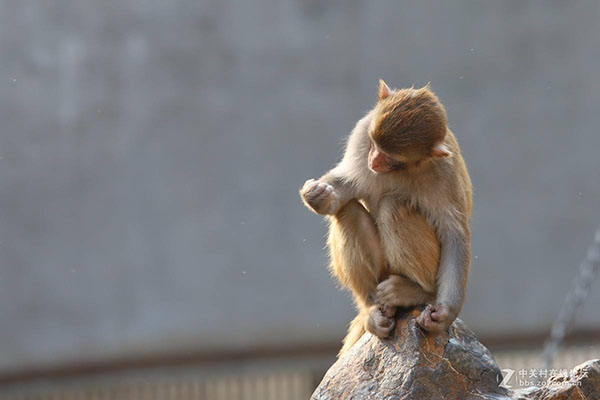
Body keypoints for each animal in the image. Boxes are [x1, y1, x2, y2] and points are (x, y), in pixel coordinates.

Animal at [300, 79, 474, 354]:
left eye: (392, 159)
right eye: (373, 144)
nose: (373, 162)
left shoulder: (443, 172)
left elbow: (454, 234)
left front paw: (446, 314)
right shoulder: (361, 135)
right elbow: (346, 187)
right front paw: (318, 195)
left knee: (392, 205)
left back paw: (418, 292)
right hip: (382, 271)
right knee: (348, 209)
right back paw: (370, 308)